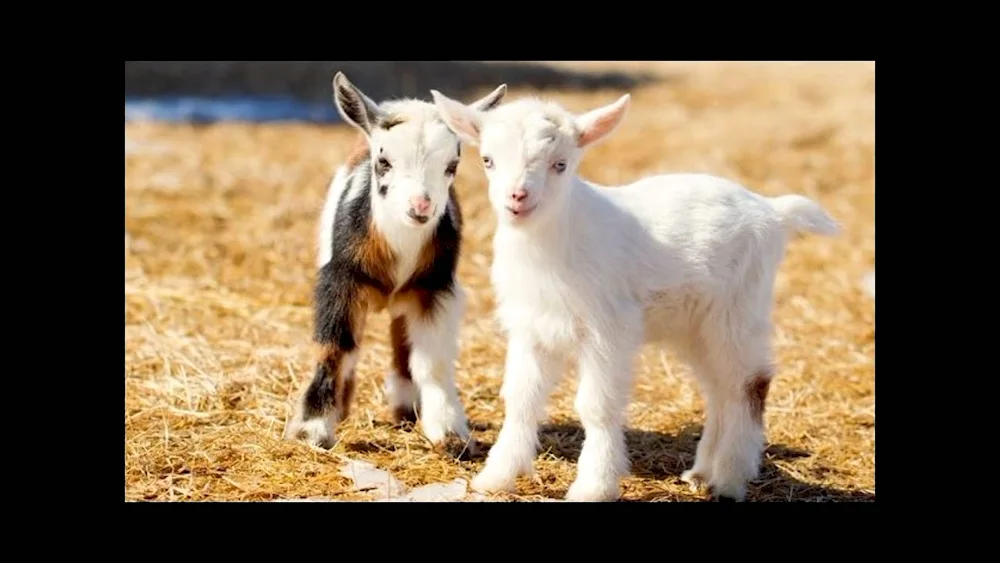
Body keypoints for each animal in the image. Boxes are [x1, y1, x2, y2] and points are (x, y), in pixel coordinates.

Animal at [286, 72, 508, 456]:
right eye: (384, 161)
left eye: (452, 165)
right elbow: (335, 347)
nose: (420, 207)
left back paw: (407, 409)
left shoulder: (434, 288)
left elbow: (431, 359)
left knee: (402, 342)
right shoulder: (340, 281)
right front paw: (312, 431)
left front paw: (449, 433)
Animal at [434, 91, 840, 502]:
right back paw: (702, 473)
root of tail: (773, 211)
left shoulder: (607, 328)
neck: (555, 241)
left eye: (560, 164)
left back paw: (729, 479)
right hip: (695, 326)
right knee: (719, 389)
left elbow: (596, 407)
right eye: (488, 160)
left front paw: (594, 487)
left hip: (738, 308)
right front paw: (497, 476)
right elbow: (520, 398)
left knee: (749, 385)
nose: (517, 197)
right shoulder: (531, 327)